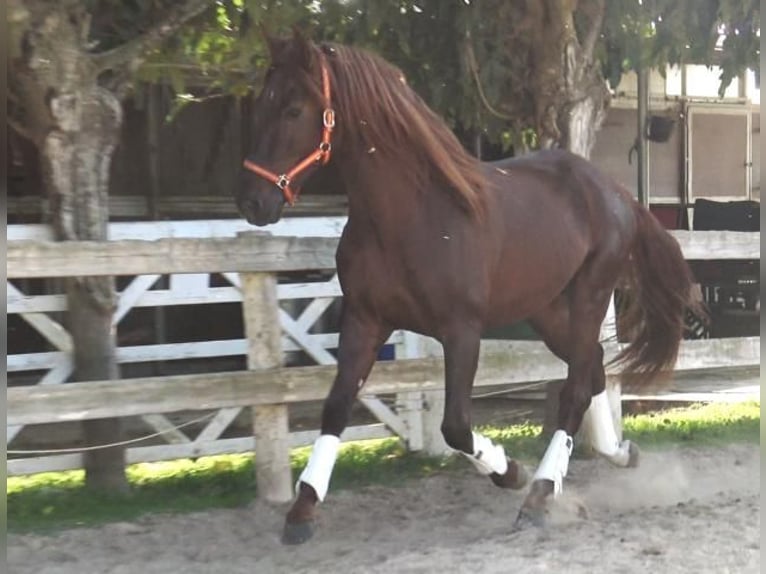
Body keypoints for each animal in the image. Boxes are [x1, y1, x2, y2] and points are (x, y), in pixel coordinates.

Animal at [238, 33, 704, 548]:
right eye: (261, 103)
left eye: (294, 109)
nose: (253, 203)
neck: (409, 216)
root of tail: (617, 194)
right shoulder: (365, 319)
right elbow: (336, 406)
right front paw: (301, 511)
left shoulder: (461, 330)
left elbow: (455, 426)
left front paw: (511, 472)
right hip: (545, 311)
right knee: (595, 370)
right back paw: (617, 455)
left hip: (588, 296)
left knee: (579, 384)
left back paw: (539, 493)